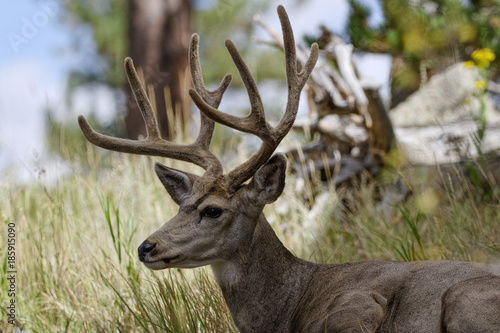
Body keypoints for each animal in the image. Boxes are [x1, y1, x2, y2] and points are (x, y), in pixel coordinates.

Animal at [79, 5, 500, 332]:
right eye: (181, 206)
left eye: (213, 210)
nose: (146, 247)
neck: (289, 304)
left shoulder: (360, 302)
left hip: (462, 297)